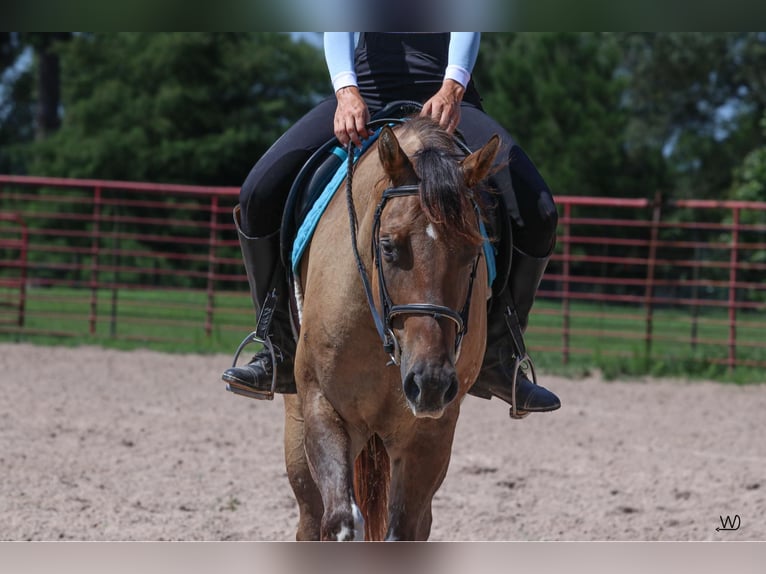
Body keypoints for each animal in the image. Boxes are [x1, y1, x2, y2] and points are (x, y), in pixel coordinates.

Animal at [284, 115, 500, 544]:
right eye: (387, 246)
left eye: (472, 254)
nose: (430, 382)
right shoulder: (321, 405)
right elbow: (340, 521)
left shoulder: (430, 434)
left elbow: (403, 530)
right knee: (311, 518)